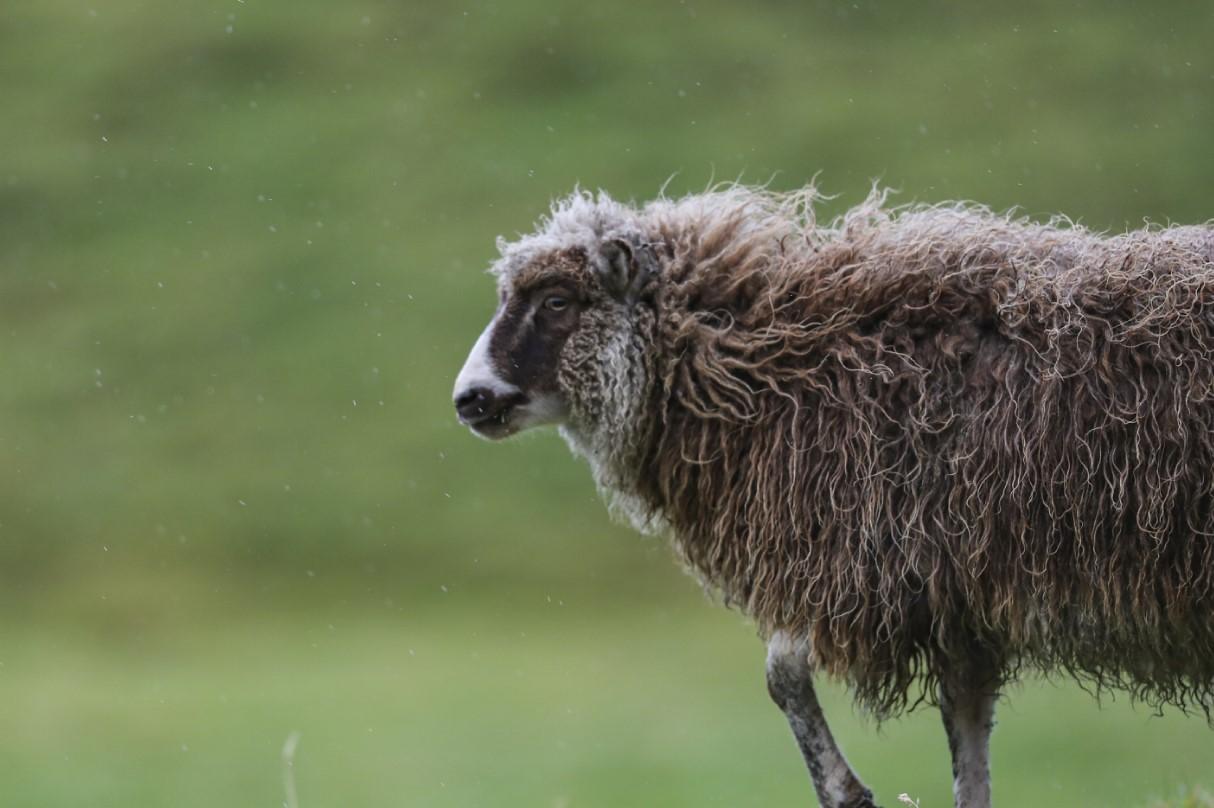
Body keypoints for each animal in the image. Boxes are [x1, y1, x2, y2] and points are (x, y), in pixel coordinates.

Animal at [451, 181, 1214, 805]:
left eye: (557, 300)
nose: (469, 399)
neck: (772, 363)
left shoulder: (866, 561)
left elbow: (782, 673)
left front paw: (847, 794)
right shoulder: (952, 591)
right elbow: (965, 728)